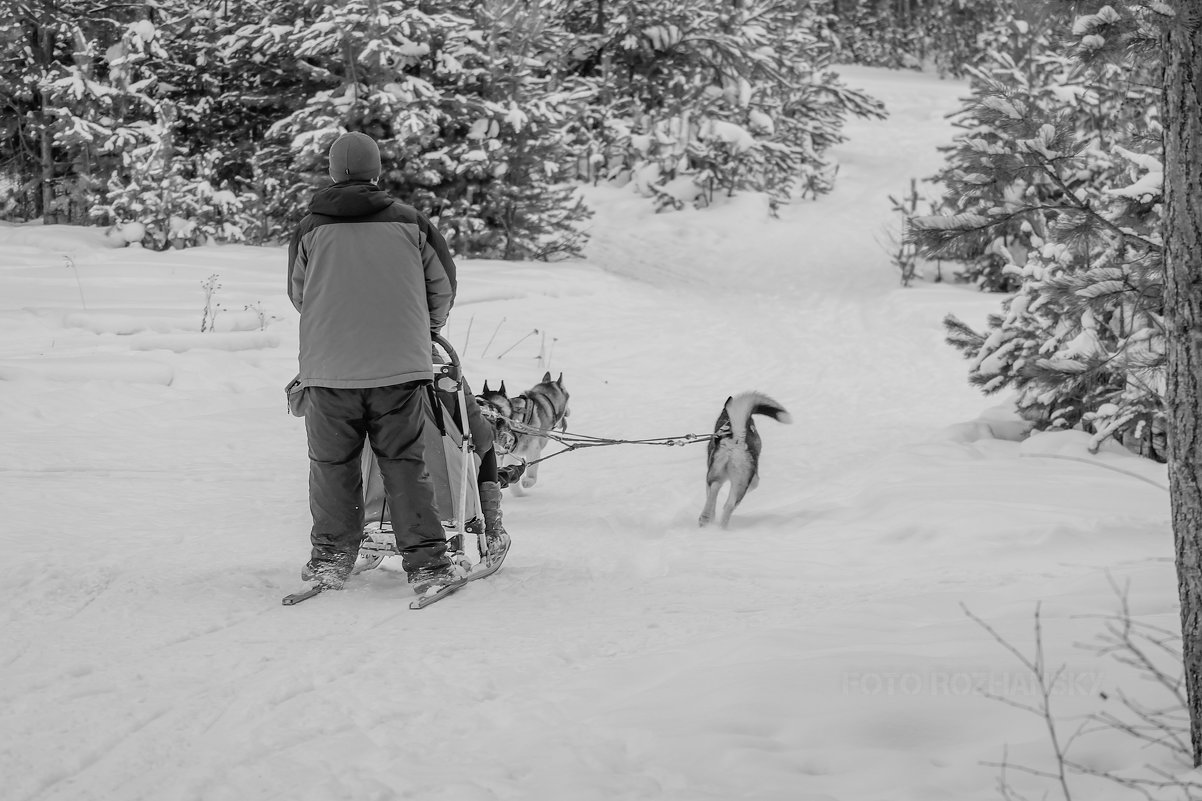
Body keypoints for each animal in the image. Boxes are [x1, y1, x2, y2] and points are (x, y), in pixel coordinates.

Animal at [701, 389, 793, 526]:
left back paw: (709, 520)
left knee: (718, 490)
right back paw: (714, 522)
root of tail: (736, 440)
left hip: (725, 475)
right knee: (727, 502)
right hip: (737, 480)